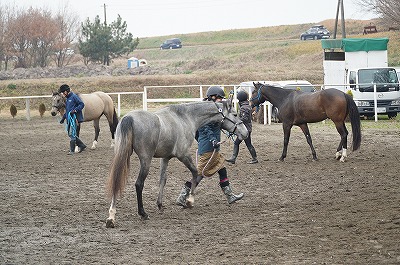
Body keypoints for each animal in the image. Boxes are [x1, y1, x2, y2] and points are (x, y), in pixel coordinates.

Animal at [105, 99, 247, 227]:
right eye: (235, 114)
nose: (245, 133)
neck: (185, 117)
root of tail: (128, 118)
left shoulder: (165, 158)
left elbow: (163, 180)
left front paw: (160, 204)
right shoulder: (183, 155)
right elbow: (195, 172)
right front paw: (190, 200)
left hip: (122, 155)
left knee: (116, 181)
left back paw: (111, 217)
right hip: (146, 160)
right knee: (138, 184)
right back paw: (142, 213)